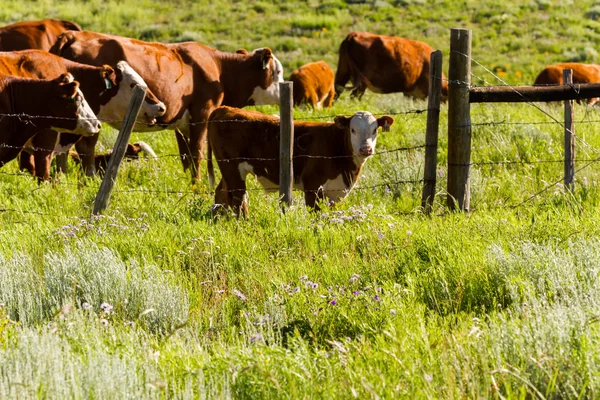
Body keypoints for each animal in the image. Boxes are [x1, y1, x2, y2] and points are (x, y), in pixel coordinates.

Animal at [49, 30, 284, 181]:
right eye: (279, 71)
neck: (219, 69)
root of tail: (73, 35)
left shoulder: (182, 124)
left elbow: (186, 157)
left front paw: (189, 183)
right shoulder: (202, 114)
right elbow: (197, 154)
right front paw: (198, 185)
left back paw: (61, 178)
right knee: (85, 148)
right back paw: (87, 179)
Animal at [206, 106, 394, 217]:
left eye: (374, 130)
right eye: (353, 130)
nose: (366, 149)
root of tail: (224, 108)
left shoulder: (336, 192)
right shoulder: (312, 186)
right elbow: (315, 214)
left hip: (228, 170)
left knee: (222, 193)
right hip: (232, 168)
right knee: (238, 199)